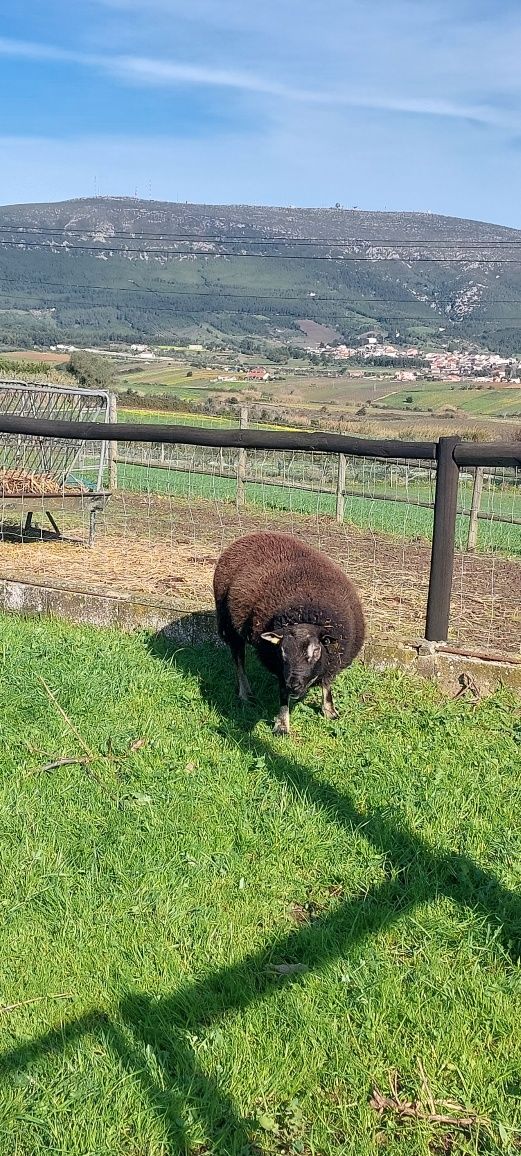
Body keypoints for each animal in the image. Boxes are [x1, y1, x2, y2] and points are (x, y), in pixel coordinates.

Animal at [213, 529, 365, 730]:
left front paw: (329, 711)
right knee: (239, 661)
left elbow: (327, 684)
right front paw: (282, 724)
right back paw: (246, 694)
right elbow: (283, 695)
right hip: (229, 626)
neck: (305, 614)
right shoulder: (278, 666)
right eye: (283, 652)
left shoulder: (333, 659)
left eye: (316, 651)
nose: (294, 685)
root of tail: (252, 535)